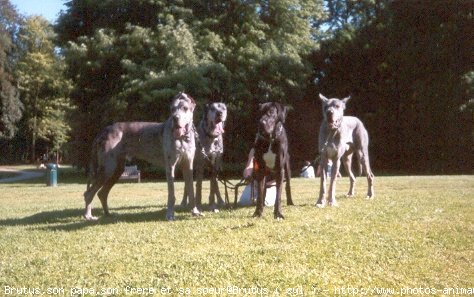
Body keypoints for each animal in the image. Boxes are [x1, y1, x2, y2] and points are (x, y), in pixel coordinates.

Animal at [83, 92, 200, 220]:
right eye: (172, 109)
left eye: (185, 108)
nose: (175, 118)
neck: (183, 137)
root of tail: (104, 131)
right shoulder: (170, 166)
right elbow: (171, 193)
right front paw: (170, 214)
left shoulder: (188, 165)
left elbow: (191, 191)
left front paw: (195, 212)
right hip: (108, 168)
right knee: (89, 193)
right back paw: (88, 215)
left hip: (117, 170)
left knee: (102, 193)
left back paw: (108, 214)